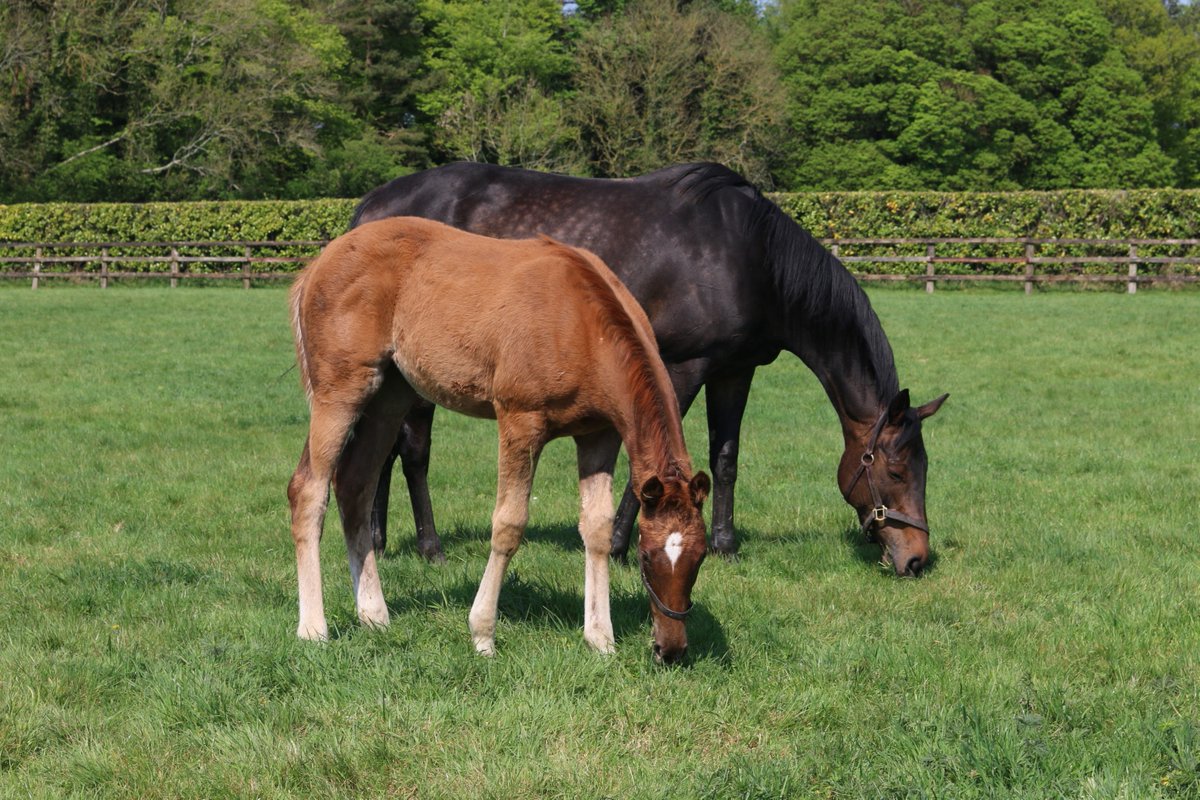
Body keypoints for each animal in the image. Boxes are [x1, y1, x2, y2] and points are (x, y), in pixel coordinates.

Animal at [287, 216, 711, 663]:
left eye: (700, 557)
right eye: (646, 556)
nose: (671, 649)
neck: (582, 324)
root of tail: (317, 265)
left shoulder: (598, 435)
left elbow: (597, 528)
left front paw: (600, 638)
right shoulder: (519, 420)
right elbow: (509, 524)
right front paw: (482, 634)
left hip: (390, 396)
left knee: (355, 484)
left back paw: (374, 615)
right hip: (341, 391)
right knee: (309, 490)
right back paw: (313, 628)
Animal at [353, 162, 947, 576]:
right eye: (897, 472)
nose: (917, 558)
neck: (750, 256)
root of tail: (369, 209)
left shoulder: (734, 371)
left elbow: (726, 458)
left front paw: (726, 546)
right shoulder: (683, 366)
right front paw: (620, 546)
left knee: (383, 449)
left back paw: (376, 538)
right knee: (412, 451)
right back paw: (428, 548)